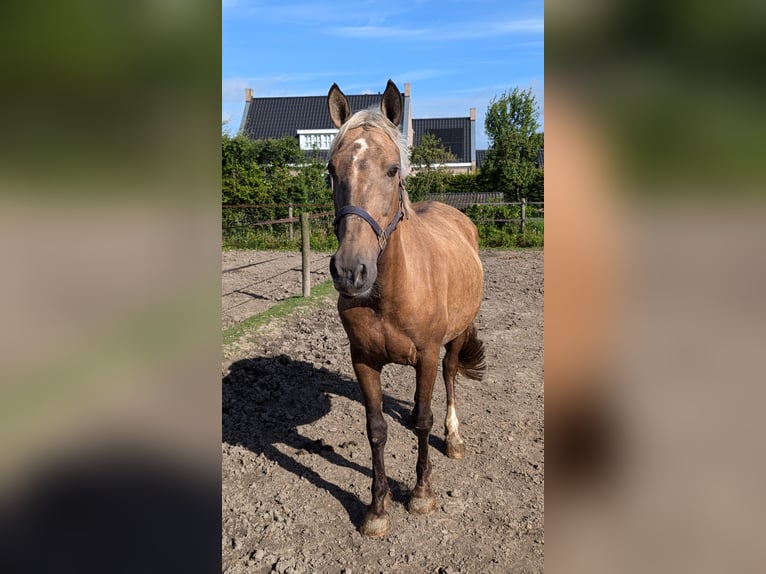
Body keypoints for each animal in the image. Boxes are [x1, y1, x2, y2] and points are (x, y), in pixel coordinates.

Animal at [326, 79, 486, 536]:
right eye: (331, 171)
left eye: (392, 170)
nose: (351, 271)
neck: (390, 292)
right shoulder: (363, 361)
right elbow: (376, 429)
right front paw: (378, 508)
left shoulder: (428, 356)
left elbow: (423, 422)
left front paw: (421, 494)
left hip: (456, 338)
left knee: (450, 379)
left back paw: (454, 438)